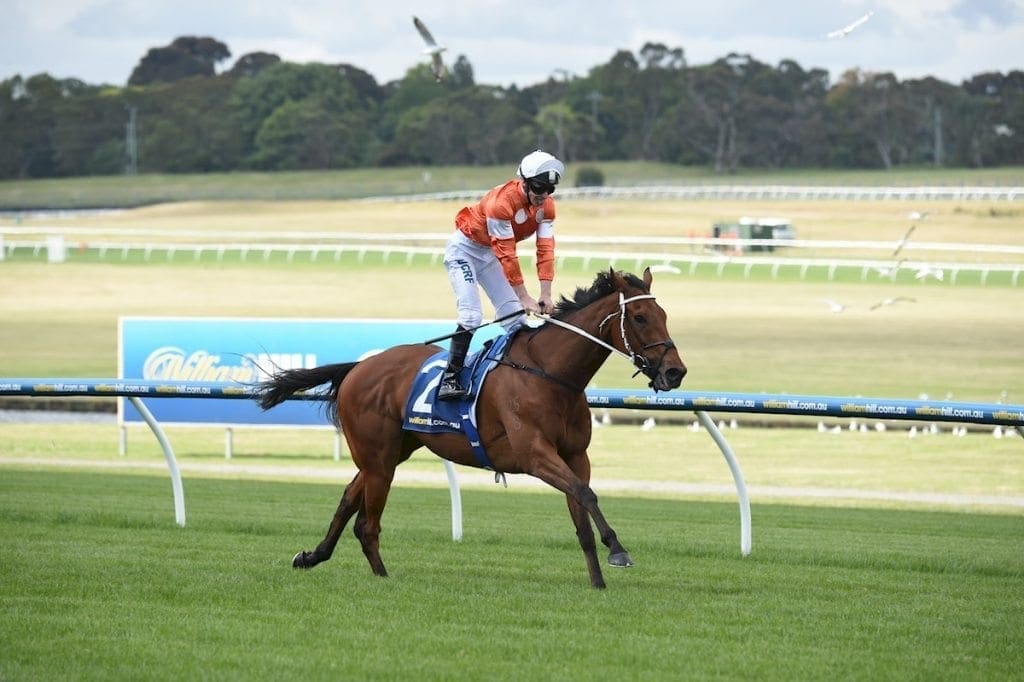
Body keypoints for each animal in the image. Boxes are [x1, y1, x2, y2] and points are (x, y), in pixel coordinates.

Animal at [254, 266, 688, 585]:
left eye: (665, 316)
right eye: (640, 317)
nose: (675, 371)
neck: (549, 374)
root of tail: (359, 366)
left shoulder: (575, 455)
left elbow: (581, 508)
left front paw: (597, 581)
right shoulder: (534, 455)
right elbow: (586, 494)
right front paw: (619, 551)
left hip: (391, 452)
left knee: (348, 498)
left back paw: (312, 556)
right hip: (378, 457)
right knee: (367, 522)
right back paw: (382, 577)